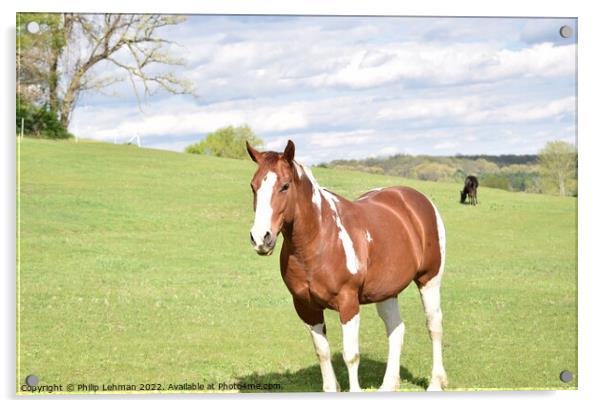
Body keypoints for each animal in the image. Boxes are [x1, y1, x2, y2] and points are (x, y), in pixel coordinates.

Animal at [244, 140, 446, 392]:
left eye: (285, 186)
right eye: (253, 186)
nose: (261, 238)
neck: (320, 239)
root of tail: (415, 199)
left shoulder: (348, 302)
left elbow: (351, 355)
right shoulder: (306, 307)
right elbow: (322, 351)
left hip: (429, 280)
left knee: (434, 325)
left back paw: (436, 382)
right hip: (387, 292)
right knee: (396, 329)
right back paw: (389, 384)